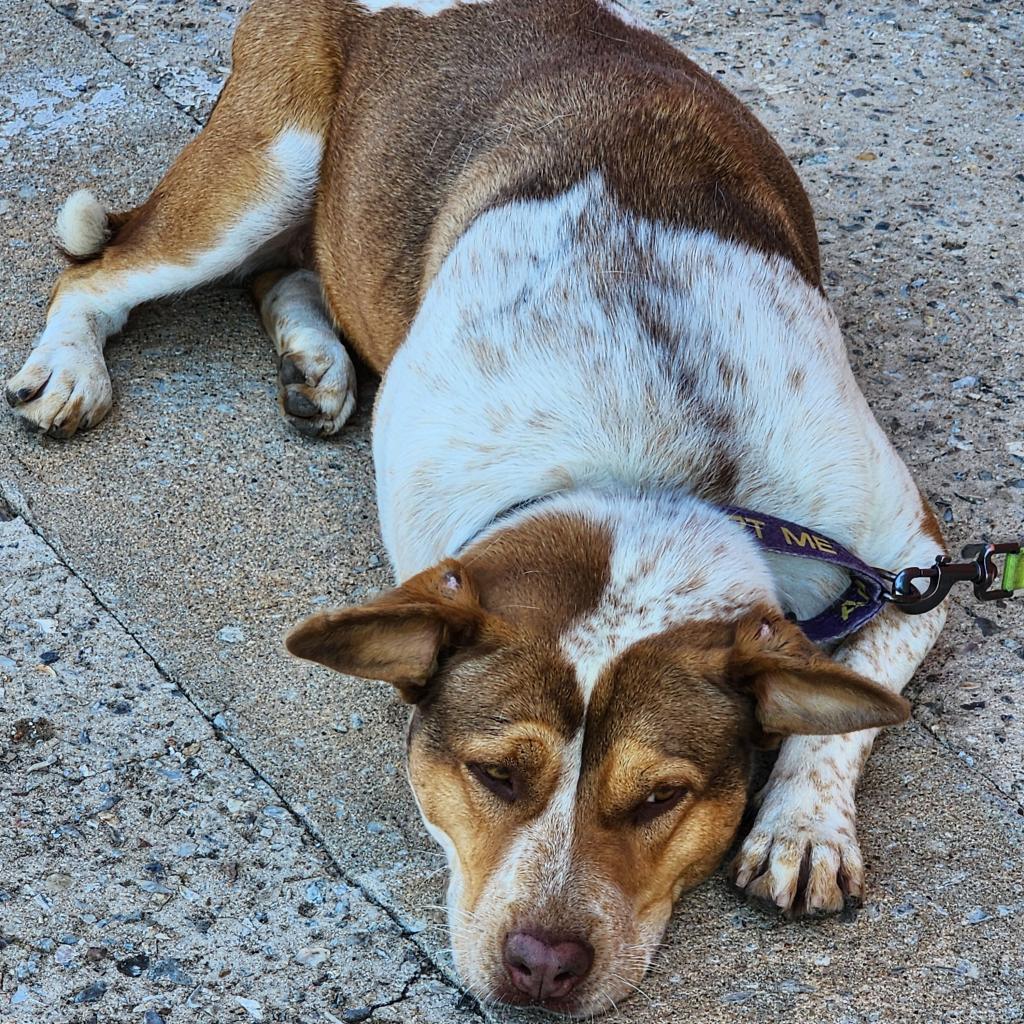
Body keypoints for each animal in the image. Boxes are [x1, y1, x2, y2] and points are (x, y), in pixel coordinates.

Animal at [6, 0, 950, 1015]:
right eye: (495, 774)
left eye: (661, 798)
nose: (543, 965)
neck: (648, 477)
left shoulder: (912, 557)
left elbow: (859, 694)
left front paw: (804, 824)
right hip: (261, 170)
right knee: (103, 272)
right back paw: (75, 366)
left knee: (283, 269)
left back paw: (315, 362)